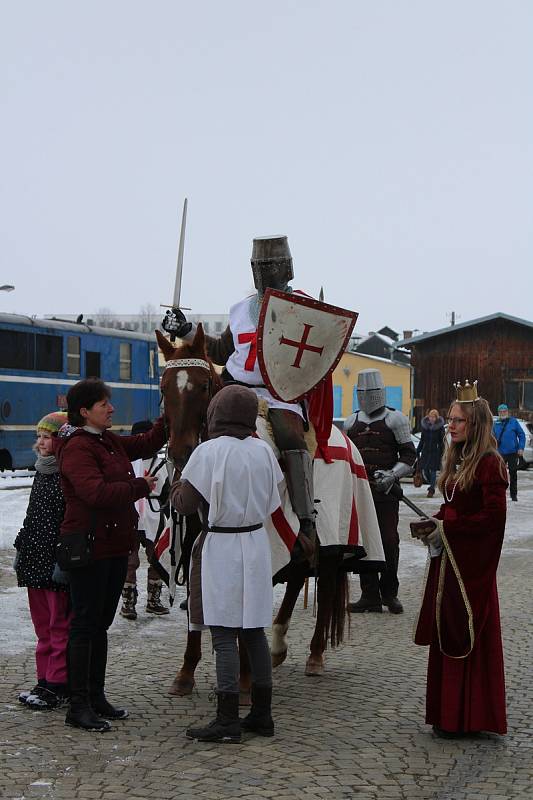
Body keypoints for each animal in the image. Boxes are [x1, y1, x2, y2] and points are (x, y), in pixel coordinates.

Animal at [154, 322, 382, 696]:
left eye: (203, 386)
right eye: (163, 387)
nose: (181, 452)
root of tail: (342, 435)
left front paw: (245, 678)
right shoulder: (193, 544)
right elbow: (196, 610)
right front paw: (186, 673)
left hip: (334, 539)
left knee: (326, 584)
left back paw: (314, 655)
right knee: (296, 577)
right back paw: (276, 646)